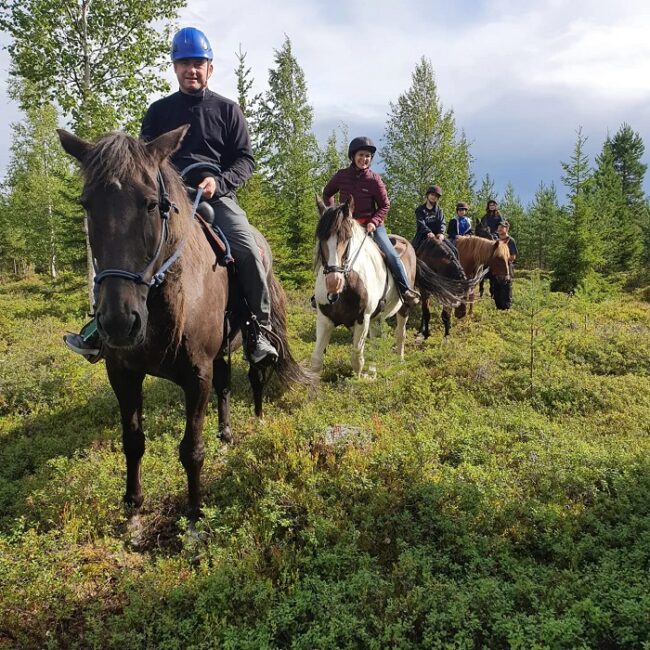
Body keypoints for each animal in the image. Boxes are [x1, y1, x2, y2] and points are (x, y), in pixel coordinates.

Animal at [57, 125, 306, 520]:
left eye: (151, 204)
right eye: (87, 204)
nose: (119, 322)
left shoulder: (197, 374)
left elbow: (191, 449)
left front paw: (194, 511)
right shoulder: (123, 373)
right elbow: (133, 440)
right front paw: (133, 503)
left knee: (255, 376)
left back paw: (257, 418)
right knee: (225, 387)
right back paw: (226, 433)